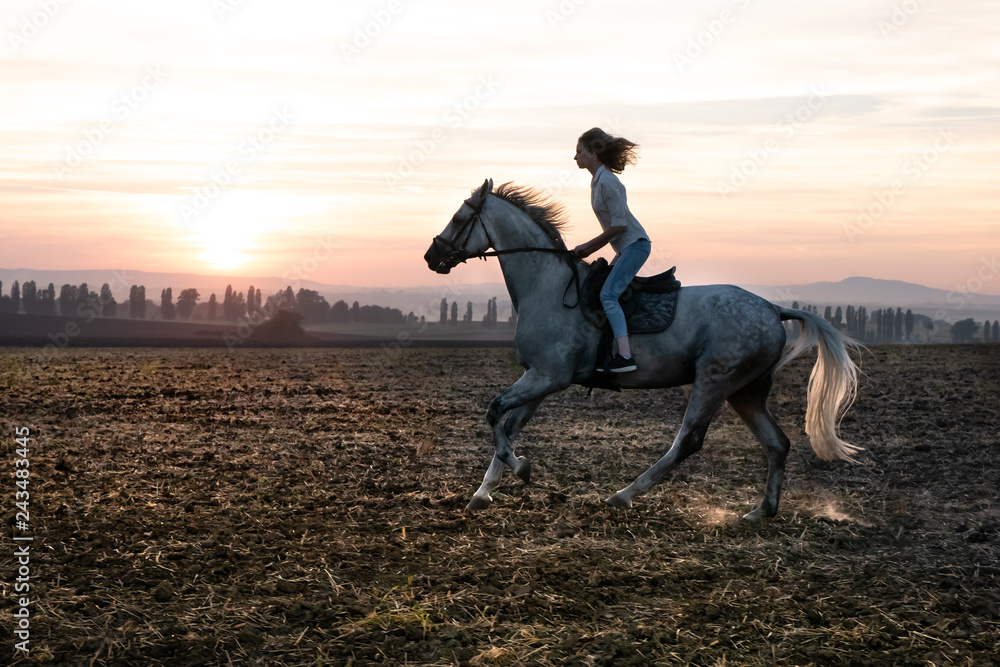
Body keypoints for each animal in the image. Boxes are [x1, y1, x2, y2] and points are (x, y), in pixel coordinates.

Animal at [422, 180, 860, 520]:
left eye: (459, 219)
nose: (431, 256)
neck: (546, 287)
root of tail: (772, 309)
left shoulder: (547, 377)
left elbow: (495, 412)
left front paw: (521, 470)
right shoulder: (540, 379)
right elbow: (508, 425)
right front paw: (483, 493)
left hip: (714, 381)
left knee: (689, 440)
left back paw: (624, 494)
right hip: (745, 392)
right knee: (777, 443)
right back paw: (761, 511)